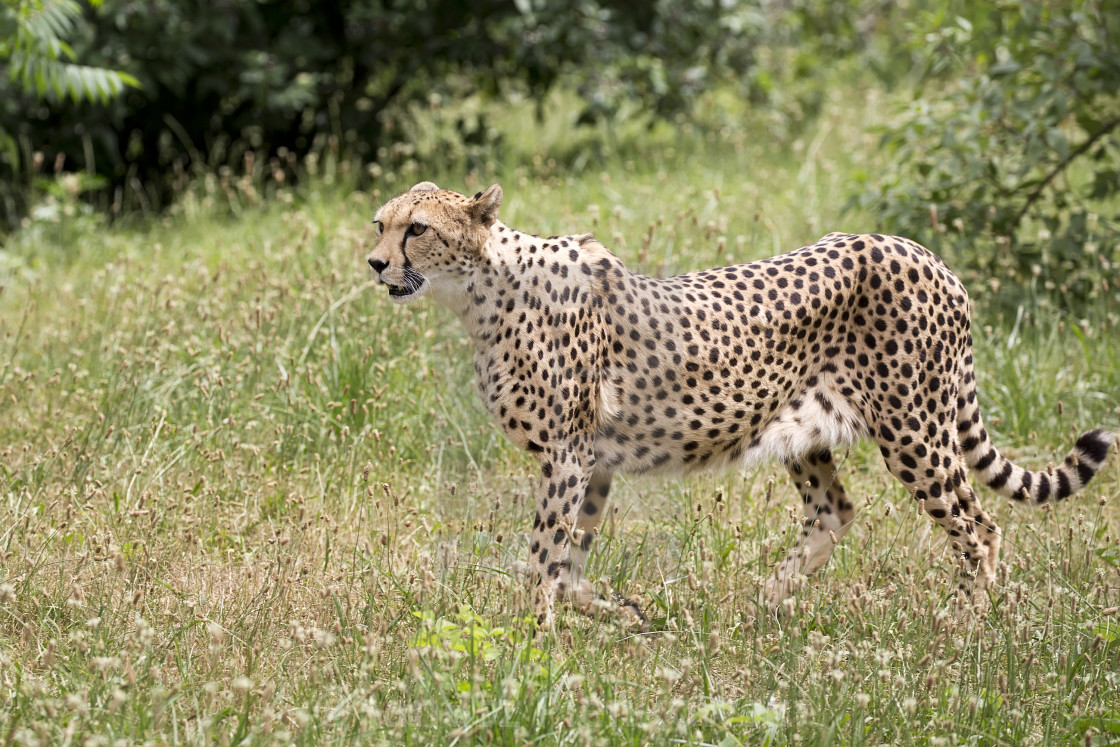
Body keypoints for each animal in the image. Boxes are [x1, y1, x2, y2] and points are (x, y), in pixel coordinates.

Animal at [365, 182, 1111, 631]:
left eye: (418, 230)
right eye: (380, 224)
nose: (374, 263)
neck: (479, 291)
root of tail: (923, 252)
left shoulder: (567, 454)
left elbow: (545, 552)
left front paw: (531, 636)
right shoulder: (593, 460)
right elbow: (570, 559)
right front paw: (618, 612)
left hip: (913, 431)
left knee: (978, 526)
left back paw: (964, 622)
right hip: (802, 428)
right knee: (835, 512)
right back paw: (762, 601)